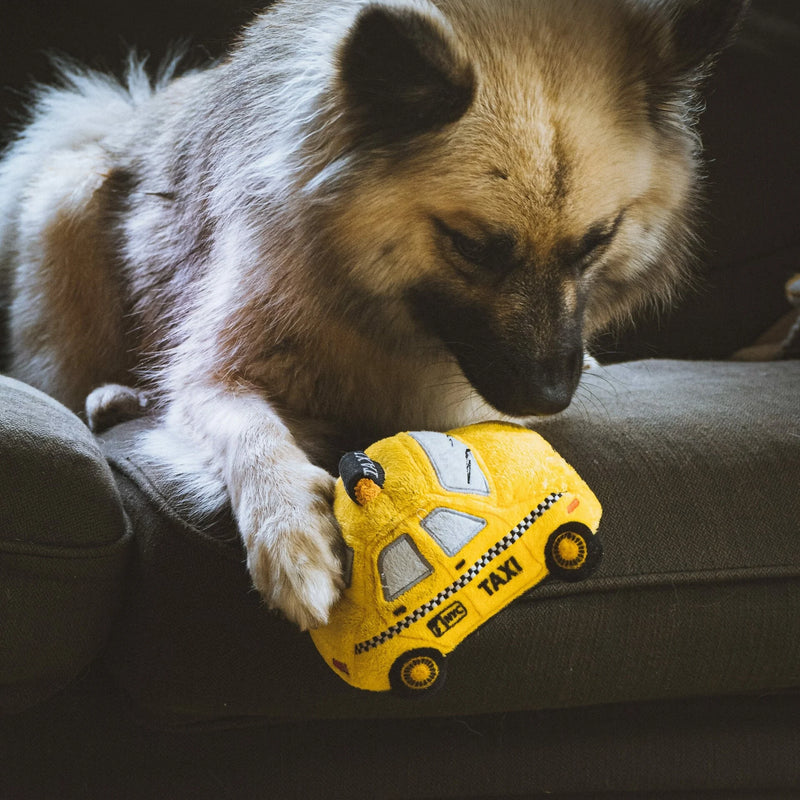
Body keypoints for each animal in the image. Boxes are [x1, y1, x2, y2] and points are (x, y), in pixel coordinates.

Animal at [0, 0, 752, 628]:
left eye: (597, 241)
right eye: (472, 247)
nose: (549, 398)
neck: (375, 308)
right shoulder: (214, 374)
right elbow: (251, 432)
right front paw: (291, 536)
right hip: (71, 194)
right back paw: (112, 396)